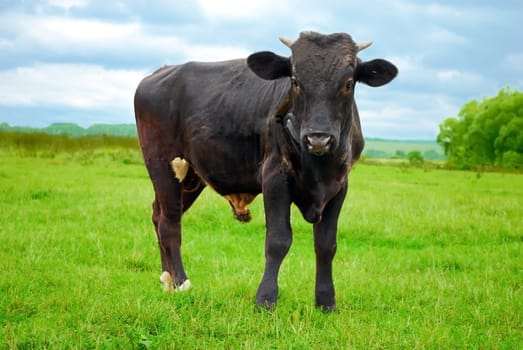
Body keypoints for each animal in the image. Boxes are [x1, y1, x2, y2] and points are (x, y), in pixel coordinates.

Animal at [134, 32, 398, 308]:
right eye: (295, 81)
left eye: (348, 83)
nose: (318, 138)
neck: (320, 169)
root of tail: (160, 73)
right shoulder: (275, 177)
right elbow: (278, 239)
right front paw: (266, 297)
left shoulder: (339, 186)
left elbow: (326, 244)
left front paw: (326, 301)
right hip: (163, 165)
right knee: (170, 223)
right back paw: (180, 282)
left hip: (192, 177)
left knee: (158, 215)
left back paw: (166, 279)